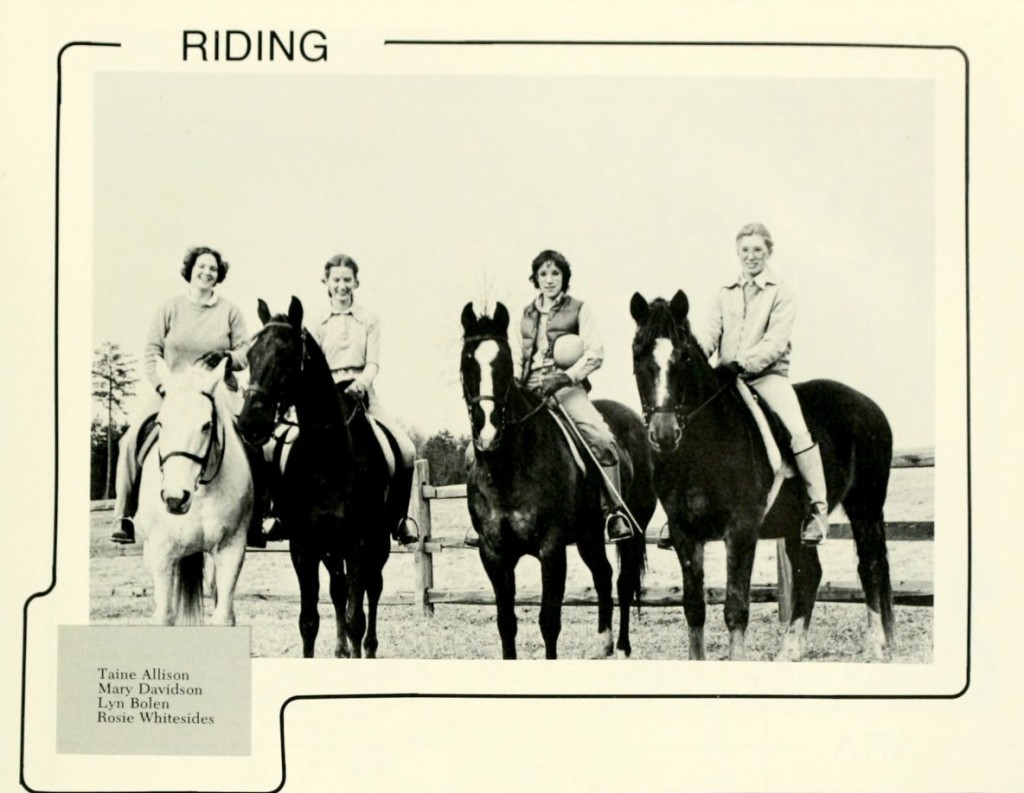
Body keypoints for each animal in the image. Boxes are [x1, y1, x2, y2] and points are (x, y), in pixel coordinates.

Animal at [135, 360, 252, 627]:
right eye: (160, 423)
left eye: (206, 425)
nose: (175, 498)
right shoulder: (161, 552)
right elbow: (164, 616)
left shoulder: (232, 548)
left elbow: (223, 616)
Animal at [236, 299, 395, 659]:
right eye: (250, 355)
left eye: (286, 355)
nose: (250, 421)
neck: (328, 455)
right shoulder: (304, 545)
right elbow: (309, 621)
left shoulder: (359, 543)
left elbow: (355, 618)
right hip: (330, 549)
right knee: (338, 590)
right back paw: (342, 650)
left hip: (377, 543)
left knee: (373, 590)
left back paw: (368, 648)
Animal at [458, 301, 655, 659]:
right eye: (467, 363)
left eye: (505, 362)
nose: (488, 433)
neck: (507, 471)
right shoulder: (493, 554)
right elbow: (506, 622)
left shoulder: (551, 549)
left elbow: (549, 620)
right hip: (590, 535)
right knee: (604, 576)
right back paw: (603, 645)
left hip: (633, 531)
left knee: (623, 582)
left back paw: (622, 648)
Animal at [626, 290, 892, 663]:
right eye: (638, 354)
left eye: (685, 357)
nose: (664, 434)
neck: (702, 448)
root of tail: (869, 406)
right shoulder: (684, 533)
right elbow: (694, 607)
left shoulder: (741, 530)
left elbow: (736, 607)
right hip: (798, 525)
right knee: (810, 573)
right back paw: (791, 650)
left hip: (865, 508)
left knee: (871, 567)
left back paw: (876, 645)